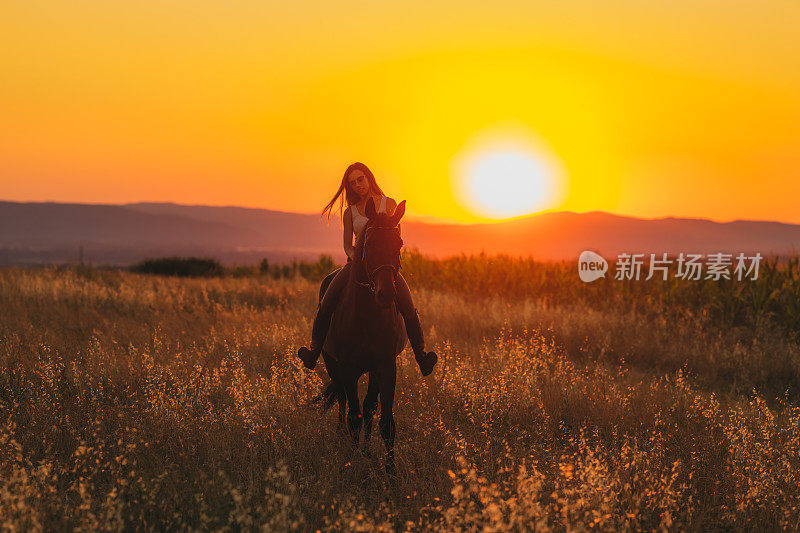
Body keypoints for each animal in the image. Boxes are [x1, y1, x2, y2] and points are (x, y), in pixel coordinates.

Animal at [314, 196, 410, 474]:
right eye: (368, 243)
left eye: (399, 243)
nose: (386, 293)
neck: (367, 315)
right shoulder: (347, 368)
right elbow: (353, 416)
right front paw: (352, 460)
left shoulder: (385, 366)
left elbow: (384, 420)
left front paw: (388, 471)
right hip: (333, 364)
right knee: (344, 402)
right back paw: (342, 438)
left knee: (367, 407)